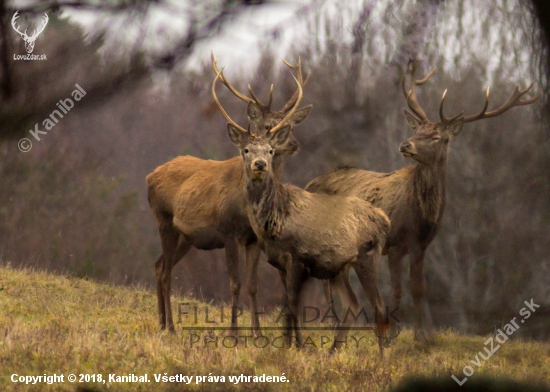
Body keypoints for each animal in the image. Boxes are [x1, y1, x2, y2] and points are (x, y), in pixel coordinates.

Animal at [147, 53, 312, 332]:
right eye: (267, 125)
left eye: (288, 126)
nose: (292, 144)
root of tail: (150, 175)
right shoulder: (228, 232)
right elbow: (235, 284)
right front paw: (233, 333)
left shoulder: (254, 239)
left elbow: (253, 285)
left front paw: (257, 333)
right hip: (163, 219)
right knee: (167, 271)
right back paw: (170, 326)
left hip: (185, 237)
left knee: (159, 266)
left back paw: (160, 322)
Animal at [216, 69, 392, 352]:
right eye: (246, 150)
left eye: (270, 149)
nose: (260, 164)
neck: (276, 220)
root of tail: (384, 218)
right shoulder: (279, 261)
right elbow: (290, 304)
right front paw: (292, 345)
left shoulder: (298, 258)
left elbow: (293, 305)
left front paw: (294, 347)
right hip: (338, 268)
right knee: (353, 305)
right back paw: (332, 352)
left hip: (368, 255)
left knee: (379, 308)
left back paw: (380, 357)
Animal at [306, 61, 544, 340]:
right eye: (417, 130)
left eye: (437, 137)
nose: (405, 144)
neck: (421, 216)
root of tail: (308, 184)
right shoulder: (395, 243)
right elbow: (397, 290)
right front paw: (392, 332)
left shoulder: (421, 245)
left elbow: (418, 289)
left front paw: (420, 334)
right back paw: (332, 322)